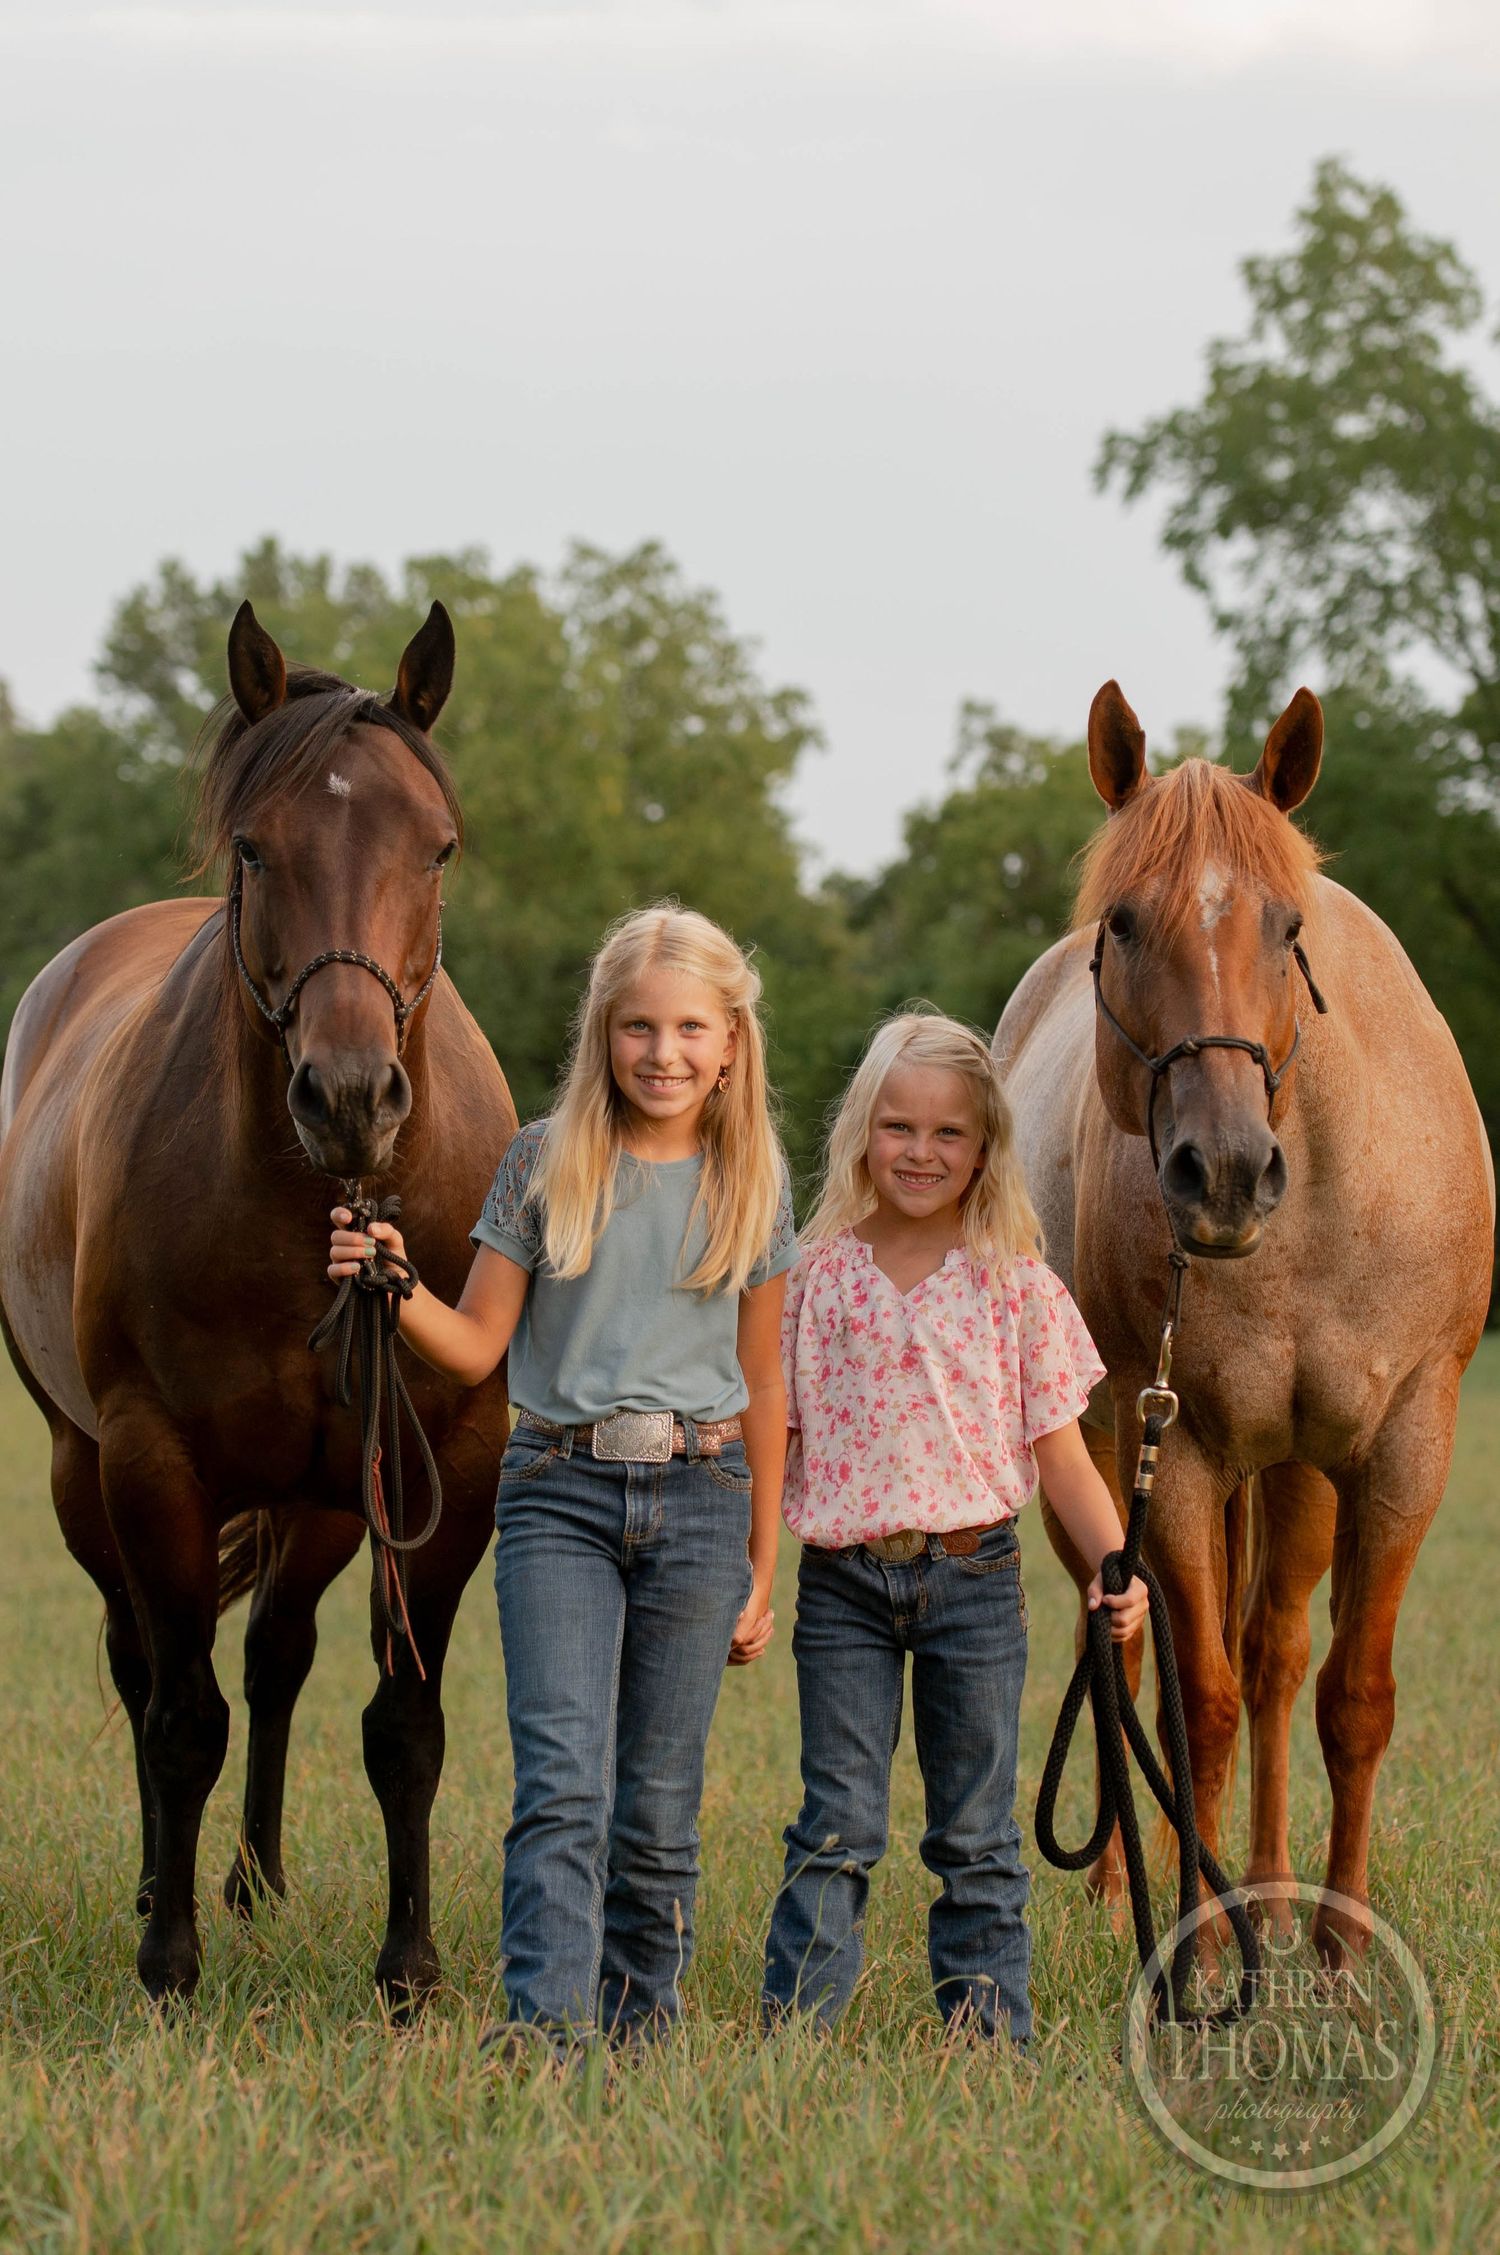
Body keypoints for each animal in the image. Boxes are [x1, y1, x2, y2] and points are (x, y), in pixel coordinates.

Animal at [0, 600, 515, 2003]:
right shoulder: (150, 1461)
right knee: (142, 1665)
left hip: (322, 1497)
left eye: (438, 845)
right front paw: (168, 1963)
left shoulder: (442, 1466)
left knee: (277, 1655)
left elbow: (403, 1722)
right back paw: (159, 1886)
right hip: (79, 1470)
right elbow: (181, 1718)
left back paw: (258, 1882)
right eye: (253, 845)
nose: (349, 1097)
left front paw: (409, 1966)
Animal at [996, 681, 1494, 1964]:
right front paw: (1205, 1944)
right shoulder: (1178, 1450)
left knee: (1273, 1651)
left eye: (1288, 926)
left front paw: (1338, 1945)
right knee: (1124, 1641)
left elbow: (1345, 1693)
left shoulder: (1401, 1439)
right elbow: (1200, 1700)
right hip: (1108, 1446)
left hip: (1296, 1467)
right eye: (1123, 922)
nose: (1221, 1172)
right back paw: (1125, 1877)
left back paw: (1268, 1886)